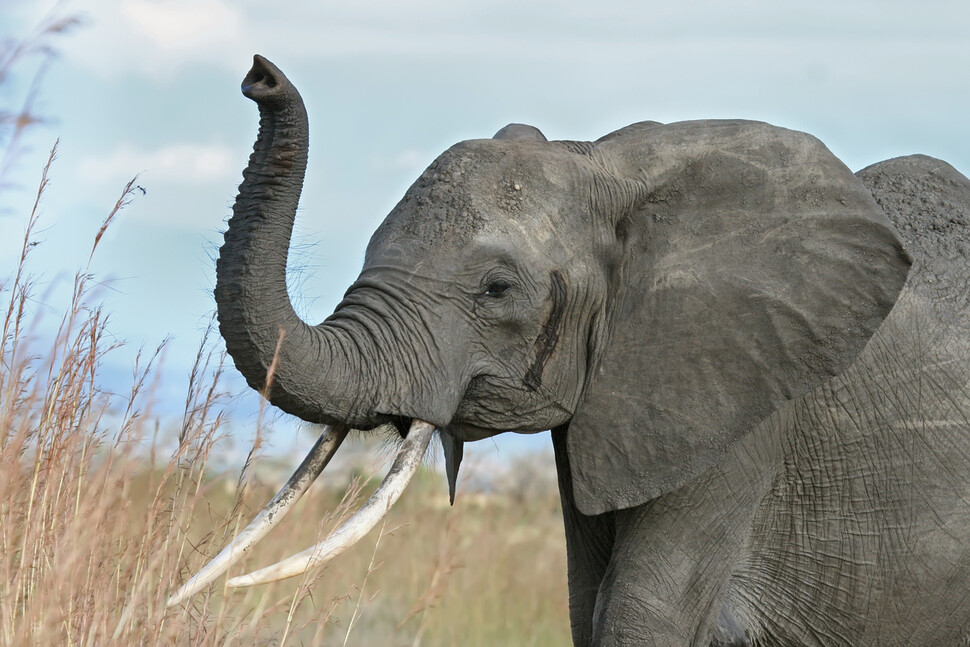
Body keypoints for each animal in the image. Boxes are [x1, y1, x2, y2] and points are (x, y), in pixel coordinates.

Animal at [170, 57, 968, 647]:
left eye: (496, 288)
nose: (258, 76)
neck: (611, 167)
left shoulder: (742, 407)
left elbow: (639, 617)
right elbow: (588, 605)